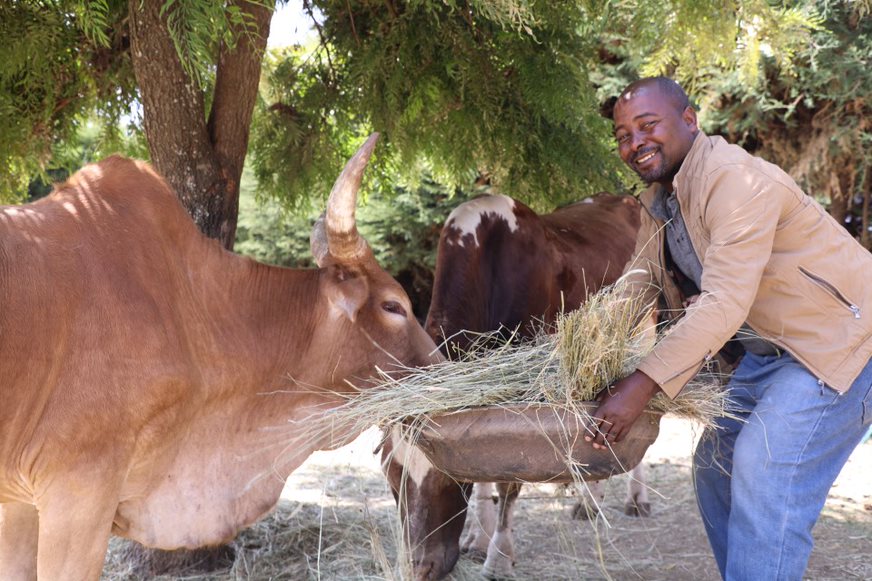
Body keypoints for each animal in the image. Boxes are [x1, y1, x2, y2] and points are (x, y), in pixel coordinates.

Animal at [384, 190, 644, 576]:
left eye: (449, 479)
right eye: (391, 479)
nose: (419, 569)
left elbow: (507, 478)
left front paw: (499, 558)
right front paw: (478, 540)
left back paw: (636, 498)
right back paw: (589, 502)